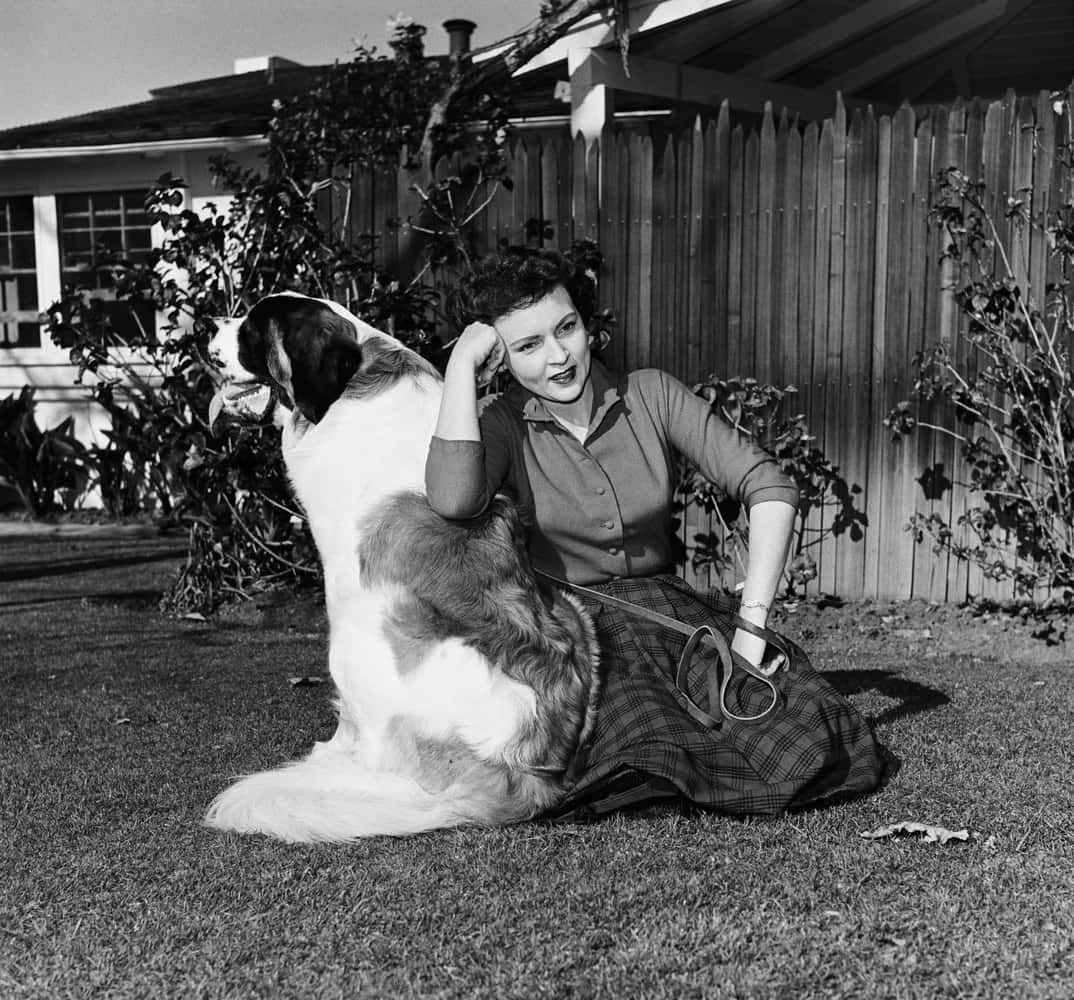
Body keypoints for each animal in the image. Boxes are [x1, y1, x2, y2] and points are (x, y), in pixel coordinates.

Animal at [205, 294, 601, 842]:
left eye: (251, 327)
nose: (207, 325)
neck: (353, 378)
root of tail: (525, 771)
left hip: (356, 641)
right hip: (573, 611)